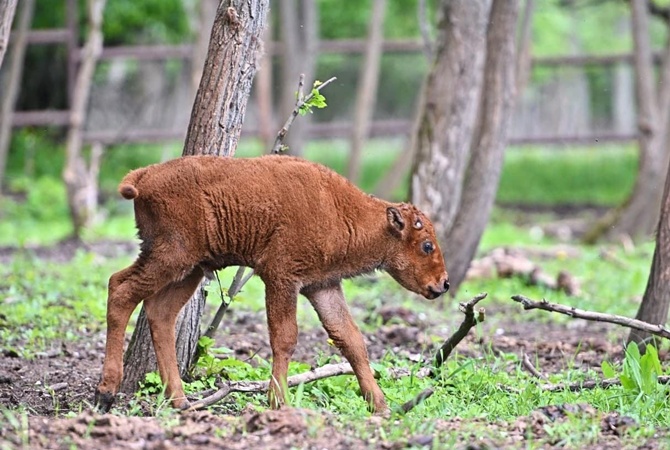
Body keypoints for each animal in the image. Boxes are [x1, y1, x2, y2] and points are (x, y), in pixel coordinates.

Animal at [94, 156, 452, 414]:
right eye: (427, 246)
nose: (444, 284)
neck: (341, 210)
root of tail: (143, 176)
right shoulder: (281, 277)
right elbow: (285, 337)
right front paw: (278, 402)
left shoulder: (322, 285)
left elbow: (350, 340)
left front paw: (380, 406)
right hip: (170, 257)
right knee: (120, 289)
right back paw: (107, 394)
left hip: (190, 269)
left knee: (160, 312)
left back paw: (180, 401)